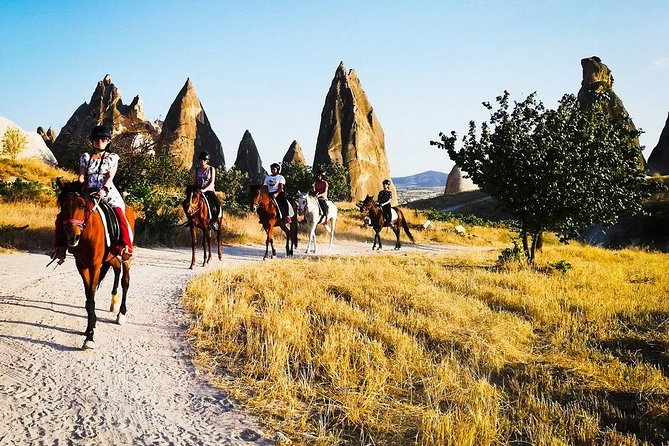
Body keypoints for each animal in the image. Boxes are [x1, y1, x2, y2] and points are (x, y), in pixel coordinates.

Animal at [55, 177, 135, 348]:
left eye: (82, 205)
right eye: (62, 205)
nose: (73, 237)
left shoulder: (94, 266)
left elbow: (91, 297)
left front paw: (90, 337)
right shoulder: (82, 265)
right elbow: (88, 298)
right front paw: (89, 329)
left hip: (126, 256)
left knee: (125, 281)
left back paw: (121, 314)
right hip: (111, 256)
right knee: (117, 269)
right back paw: (113, 302)